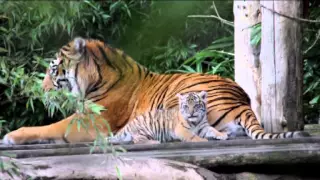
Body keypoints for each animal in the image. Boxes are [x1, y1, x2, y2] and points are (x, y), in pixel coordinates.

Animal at [1, 37, 308, 144]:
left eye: (53, 70)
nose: (41, 90)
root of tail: (243, 100)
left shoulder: (95, 121)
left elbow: (50, 128)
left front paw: (11, 137)